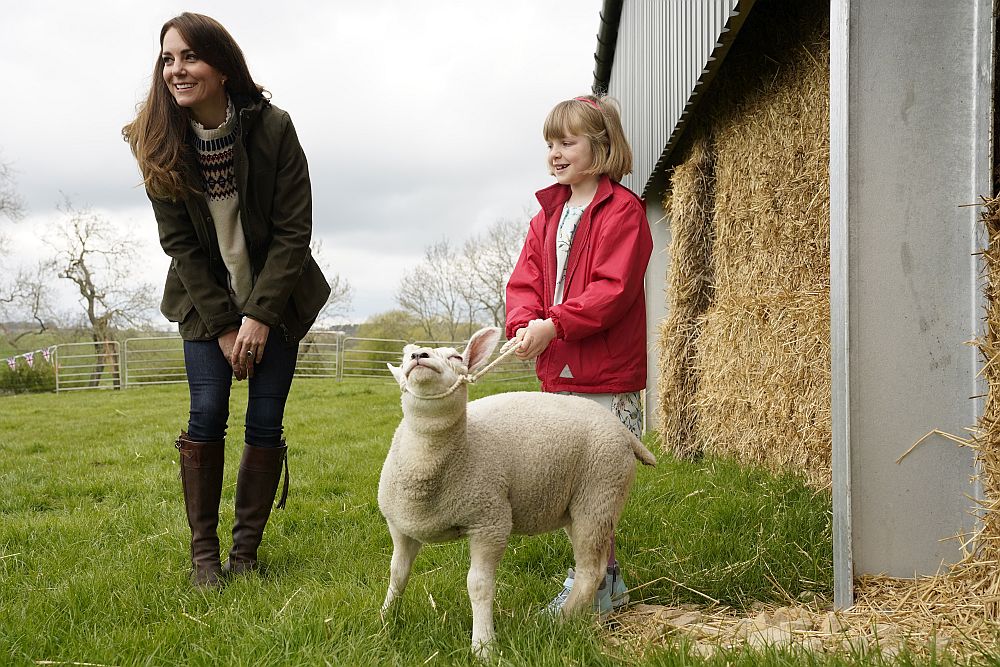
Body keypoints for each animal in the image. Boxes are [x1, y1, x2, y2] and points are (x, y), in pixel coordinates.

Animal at [376, 326, 656, 656]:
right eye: (406, 355)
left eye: (457, 357)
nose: (419, 356)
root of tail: (624, 431)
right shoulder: (400, 526)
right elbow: (397, 573)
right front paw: (385, 619)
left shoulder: (490, 521)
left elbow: (478, 585)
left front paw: (483, 645)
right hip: (581, 503)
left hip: (600, 493)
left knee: (591, 570)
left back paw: (559, 621)